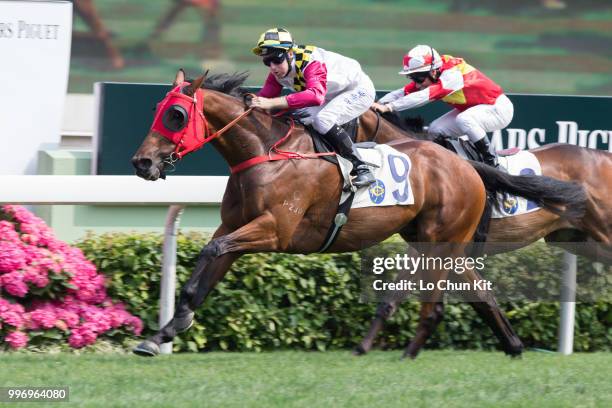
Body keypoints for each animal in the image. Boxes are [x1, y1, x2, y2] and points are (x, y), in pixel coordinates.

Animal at [131, 71, 584, 358]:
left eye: (176, 115)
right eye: (156, 109)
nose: (142, 163)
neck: (266, 152)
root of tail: (466, 164)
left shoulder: (274, 229)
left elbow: (213, 252)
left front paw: (174, 326)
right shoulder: (236, 226)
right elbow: (206, 268)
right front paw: (162, 334)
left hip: (441, 239)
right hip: (437, 240)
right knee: (481, 292)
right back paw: (513, 346)